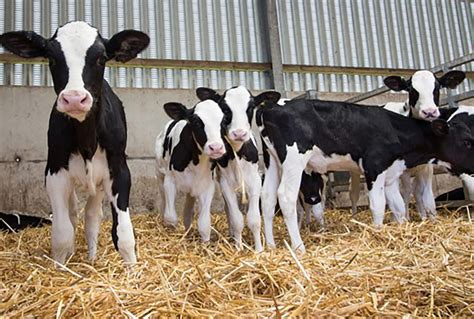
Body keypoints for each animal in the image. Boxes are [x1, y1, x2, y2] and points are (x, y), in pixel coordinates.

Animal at [0, 21, 150, 264]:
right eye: (51, 58)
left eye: (101, 58)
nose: (74, 98)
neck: (86, 139)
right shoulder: (55, 172)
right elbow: (62, 234)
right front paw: (60, 266)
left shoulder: (119, 170)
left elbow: (124, 234)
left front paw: (132, 269)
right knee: (73, 214)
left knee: (92, 217)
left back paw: (92, 258)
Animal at [156, 100, 228, 242]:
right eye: (196, 121)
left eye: (223, 120)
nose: (216, 147)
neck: (195, 161)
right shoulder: (170, 181)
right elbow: (171, 217)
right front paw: (172, 233)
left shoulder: (207, 186)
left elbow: (204, 224)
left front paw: (205, 243)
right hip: (160, 174)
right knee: (164, 201)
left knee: (188, 208)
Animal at [194, 85, 280, 252]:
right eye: (225, 108)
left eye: (251, 107)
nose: (239, 133)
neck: (238, 152)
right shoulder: (225, 184)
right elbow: (237, 219)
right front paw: (238, 247)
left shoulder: (255, 182)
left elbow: (254, 219)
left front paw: (259, 249)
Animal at [258, 100, 472, 252]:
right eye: (467, 141)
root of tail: (270, 108)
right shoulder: (374, 167)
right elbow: (378, 206)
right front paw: (378, 234)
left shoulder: (390, 175)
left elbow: (398, 206)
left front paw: (402, 229)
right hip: (293, 160)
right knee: (285, 197)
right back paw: (299, 247)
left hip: (272, 162)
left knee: (267, 199)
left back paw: (271, 246)